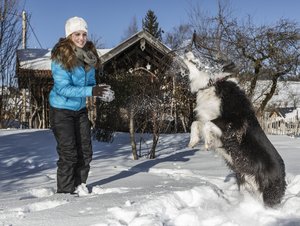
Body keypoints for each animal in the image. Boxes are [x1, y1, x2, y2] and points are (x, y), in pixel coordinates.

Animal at [183, 51, 286, 207]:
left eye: (204, 56)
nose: (186, 51)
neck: (213, 84)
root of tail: (283, 174)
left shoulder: (235, 122)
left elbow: (208, 124)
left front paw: (207, 142)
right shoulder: (206, 116)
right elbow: (195, 123)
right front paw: (193, 141)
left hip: (269, 192)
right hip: (244, 181)